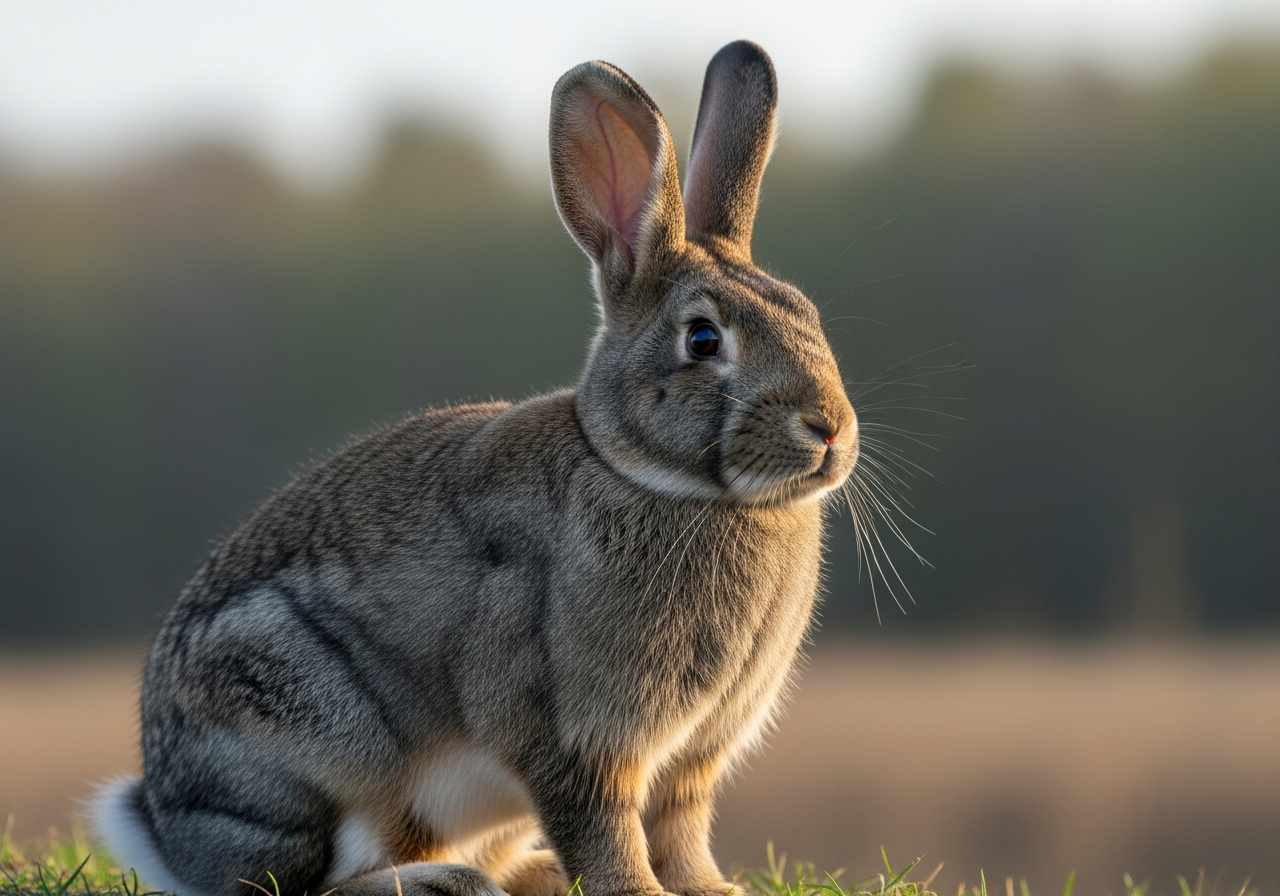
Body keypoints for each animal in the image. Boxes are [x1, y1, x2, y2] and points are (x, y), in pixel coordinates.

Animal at [92, 39, 857, 896]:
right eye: (702, 340)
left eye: (807, 314)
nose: (829, 427)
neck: (665, 481)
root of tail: (166, 833)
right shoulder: (574, 738)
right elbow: (606, 829)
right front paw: (639, 892)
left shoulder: (694, 756)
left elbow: (680, 826)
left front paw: (710, 889)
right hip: (301, 741)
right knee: (295, 883)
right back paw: (440, 882)